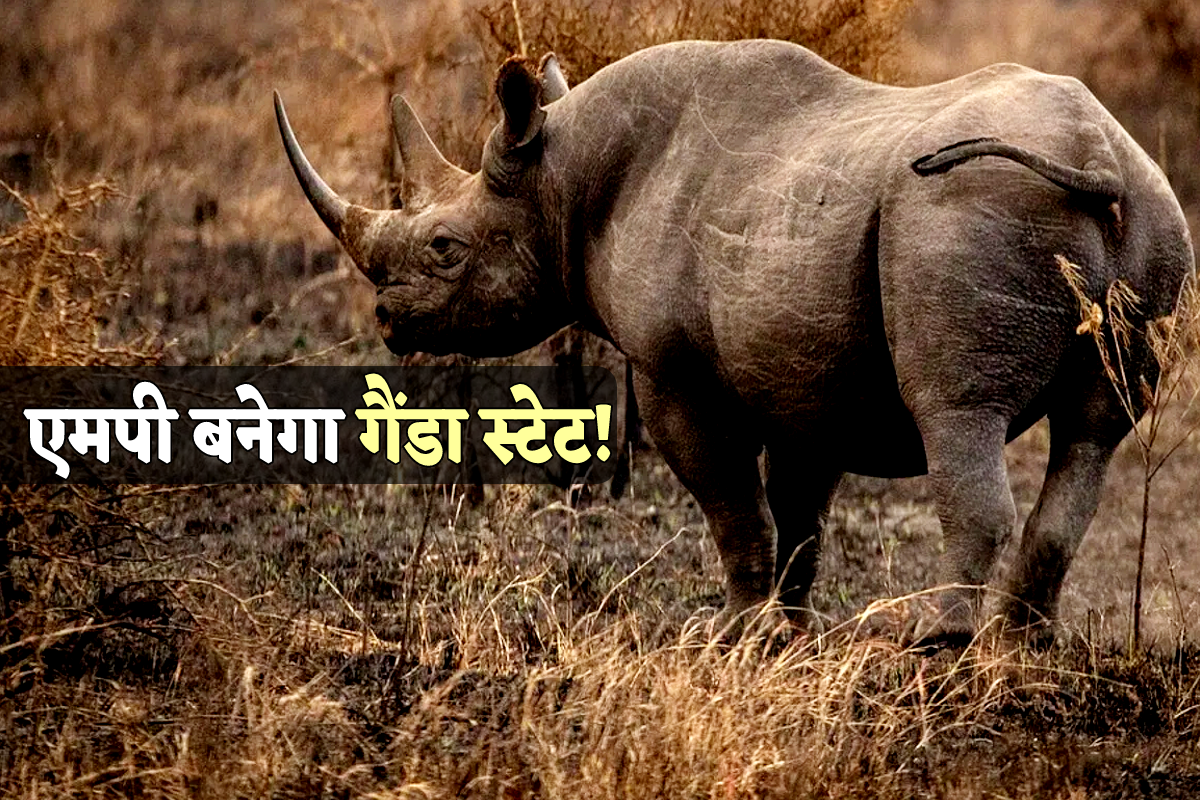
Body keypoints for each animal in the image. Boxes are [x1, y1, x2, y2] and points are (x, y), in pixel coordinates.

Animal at [275, 39, 1194, 643]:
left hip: (966, 212)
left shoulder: (671, 371)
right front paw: (789, 631)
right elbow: (800, 514)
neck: (559, 179)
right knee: (1093, 434)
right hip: (1155, 214)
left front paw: (734, 634)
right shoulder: (805, 368)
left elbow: (732, 507)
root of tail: (1096, 155)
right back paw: (1020, 646)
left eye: (444, 248)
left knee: (957, 412)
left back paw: (937, 644)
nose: (387, 320)